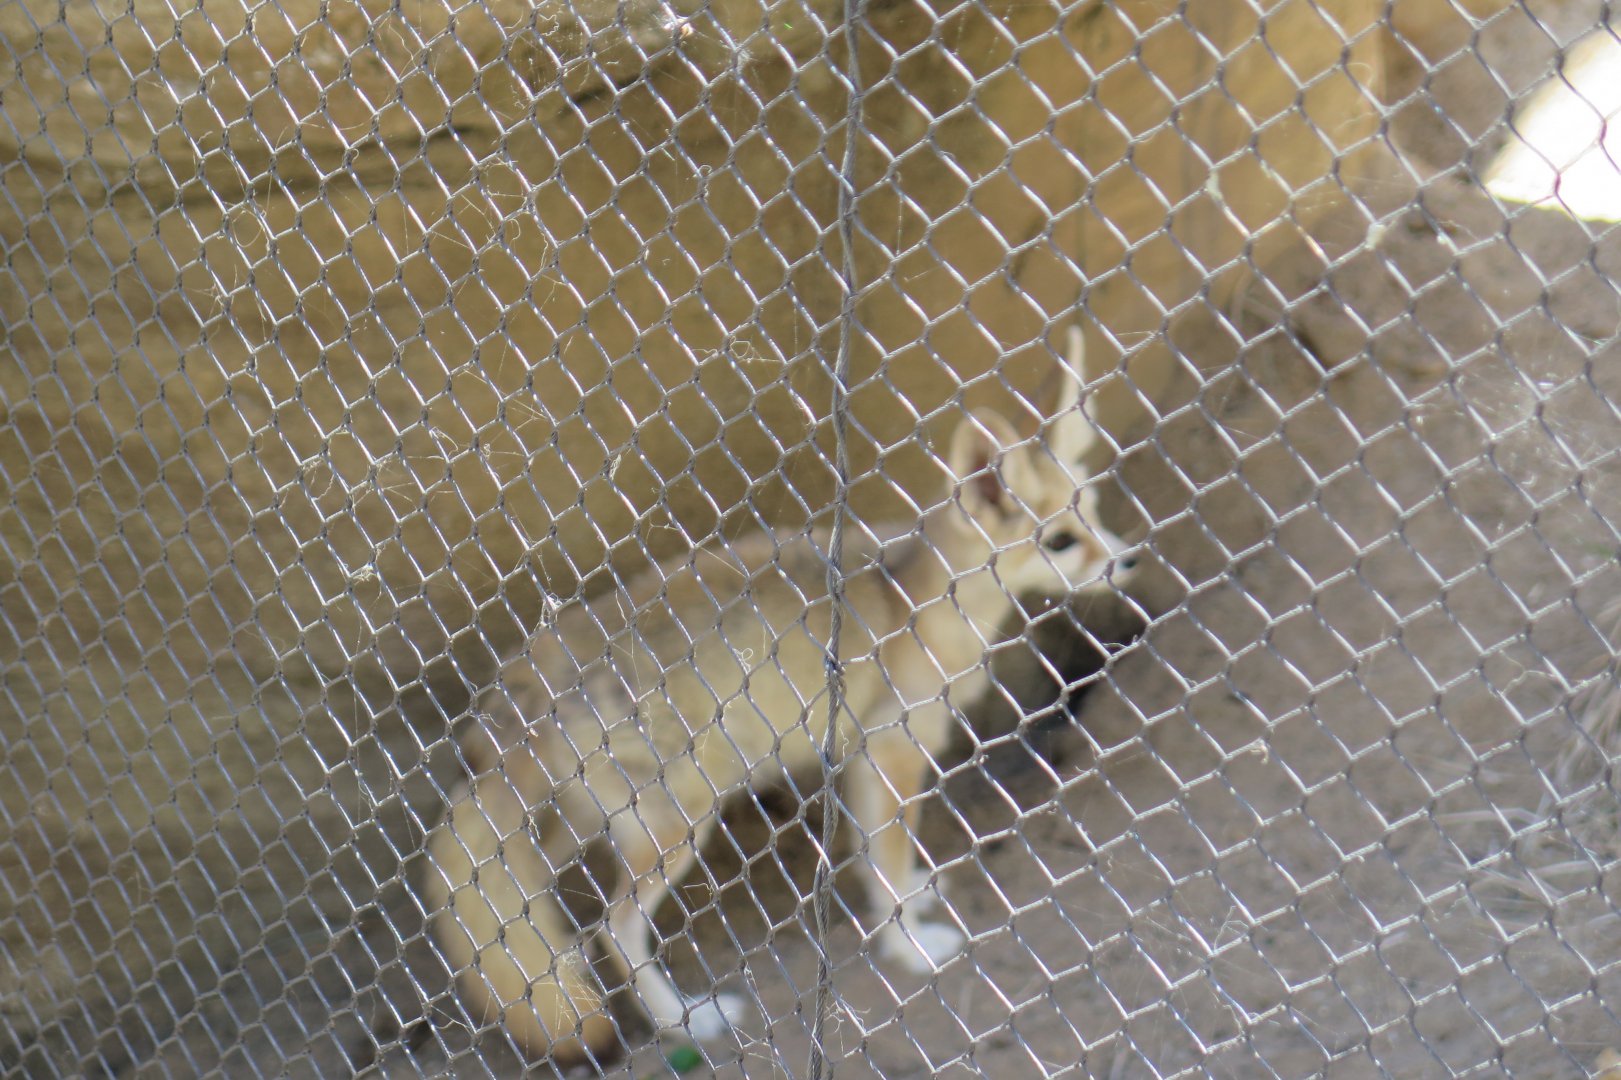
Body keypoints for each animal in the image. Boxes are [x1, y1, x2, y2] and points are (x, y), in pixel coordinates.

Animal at [423, 329, 1137, 1062]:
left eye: (1094, 515)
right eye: (1061, 541)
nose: (1130, 557)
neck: (913, 599)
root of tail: (524, 683)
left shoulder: (858, 758)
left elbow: (871, 856)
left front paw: (907, 899)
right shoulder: (892, 751)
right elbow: (885, 857)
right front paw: (908, 947)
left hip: (579, 828)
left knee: (534, 916)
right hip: (681, 828)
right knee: (611, 928)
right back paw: (685, 1019)